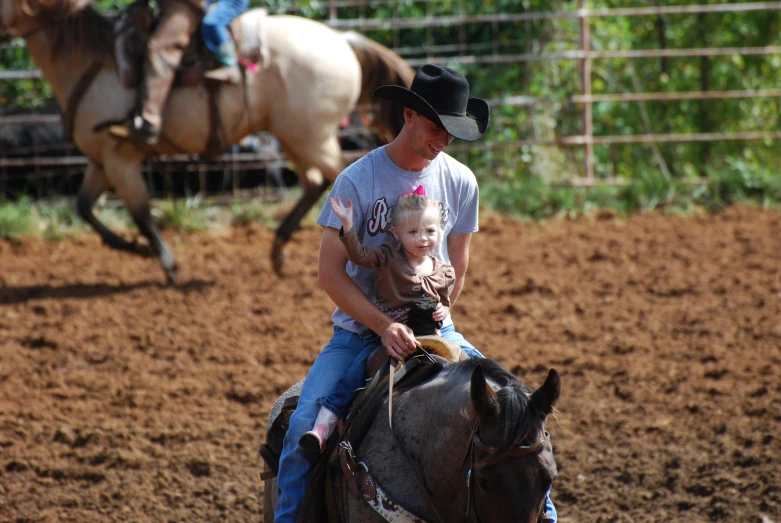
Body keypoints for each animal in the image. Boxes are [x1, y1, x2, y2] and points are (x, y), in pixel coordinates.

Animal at [0, 0, 414, 282]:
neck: (93, 62)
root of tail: (342, 39)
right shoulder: (101, 161)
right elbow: (84, 207)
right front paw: (131, 248)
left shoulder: (121, 159)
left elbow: (141, 214)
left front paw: (167, 265)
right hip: (295, 136)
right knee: (316, 180)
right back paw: (278, 249)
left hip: (310, 136)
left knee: (337, 177)